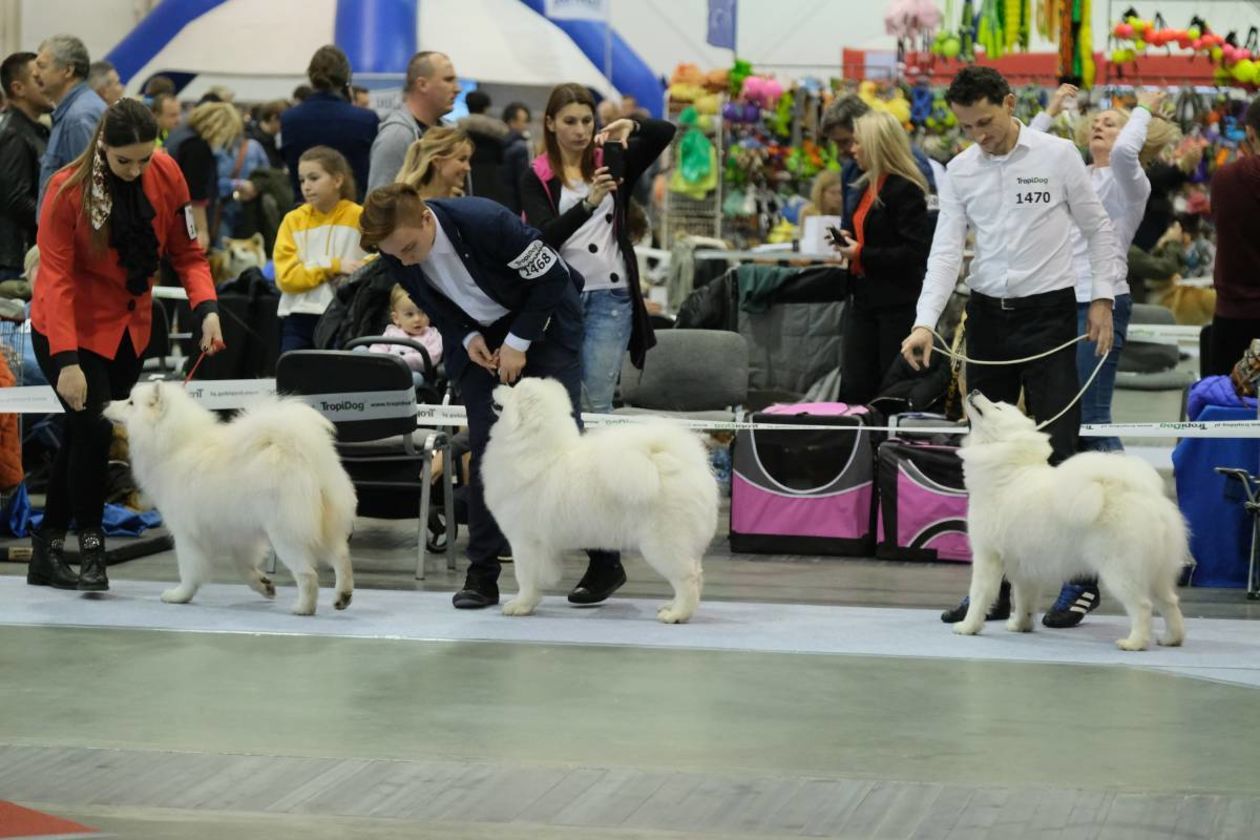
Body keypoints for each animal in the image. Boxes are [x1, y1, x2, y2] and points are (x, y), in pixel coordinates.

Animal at [103, 385, 357, 614]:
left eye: (130, 403)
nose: (106, 402)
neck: (174, 446)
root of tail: (299, 451)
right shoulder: (239, 533)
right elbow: (243, 566)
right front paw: (264, 585)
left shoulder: (187, 534)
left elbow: (189, 570)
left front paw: (179, 596)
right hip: (325, 524)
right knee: (342, 557)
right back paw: (342, 596)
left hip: (286, 533)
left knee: (308, 574)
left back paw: (303, 608)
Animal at [481, 377, 720, 622]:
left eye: (513, 390)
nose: (497, 385)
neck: (534, 449)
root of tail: (684, 464)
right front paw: (530, 603)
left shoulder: (526, 541)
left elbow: (525, 577)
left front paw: (520, 605)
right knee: (695, 574)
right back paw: (671, 605)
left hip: (664, 543)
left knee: (688, 578)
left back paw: (676, 614)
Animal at [957, 390, 1184, 654]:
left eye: (997, 407)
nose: (974, 391)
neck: (1006, 472)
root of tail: (1142, 495)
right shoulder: (1024, 565)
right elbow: (1024, 599)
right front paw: (1021, 625)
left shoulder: (987, 555)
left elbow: (979, 594)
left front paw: (968, 626)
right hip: (1158, 570)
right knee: (1170, 602)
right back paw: (1172, 638)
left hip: (1120, 570)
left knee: (1143, 606)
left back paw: (1134, 642)